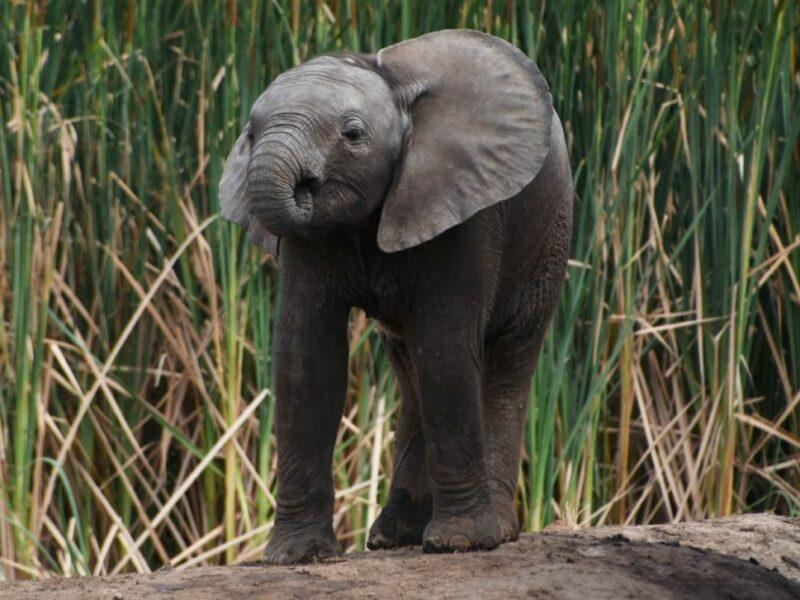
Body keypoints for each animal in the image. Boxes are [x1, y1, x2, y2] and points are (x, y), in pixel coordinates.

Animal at [219, 29, 573, 564]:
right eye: (250, 134)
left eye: (352, 134)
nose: (304, 188)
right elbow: (307, 356)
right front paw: (297, 556)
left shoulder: (465, 204)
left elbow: (446, 348)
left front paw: (461, 544)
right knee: (410, 369)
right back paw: (394, 537)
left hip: (549, 237)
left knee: (505, 358)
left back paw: (495, 532)